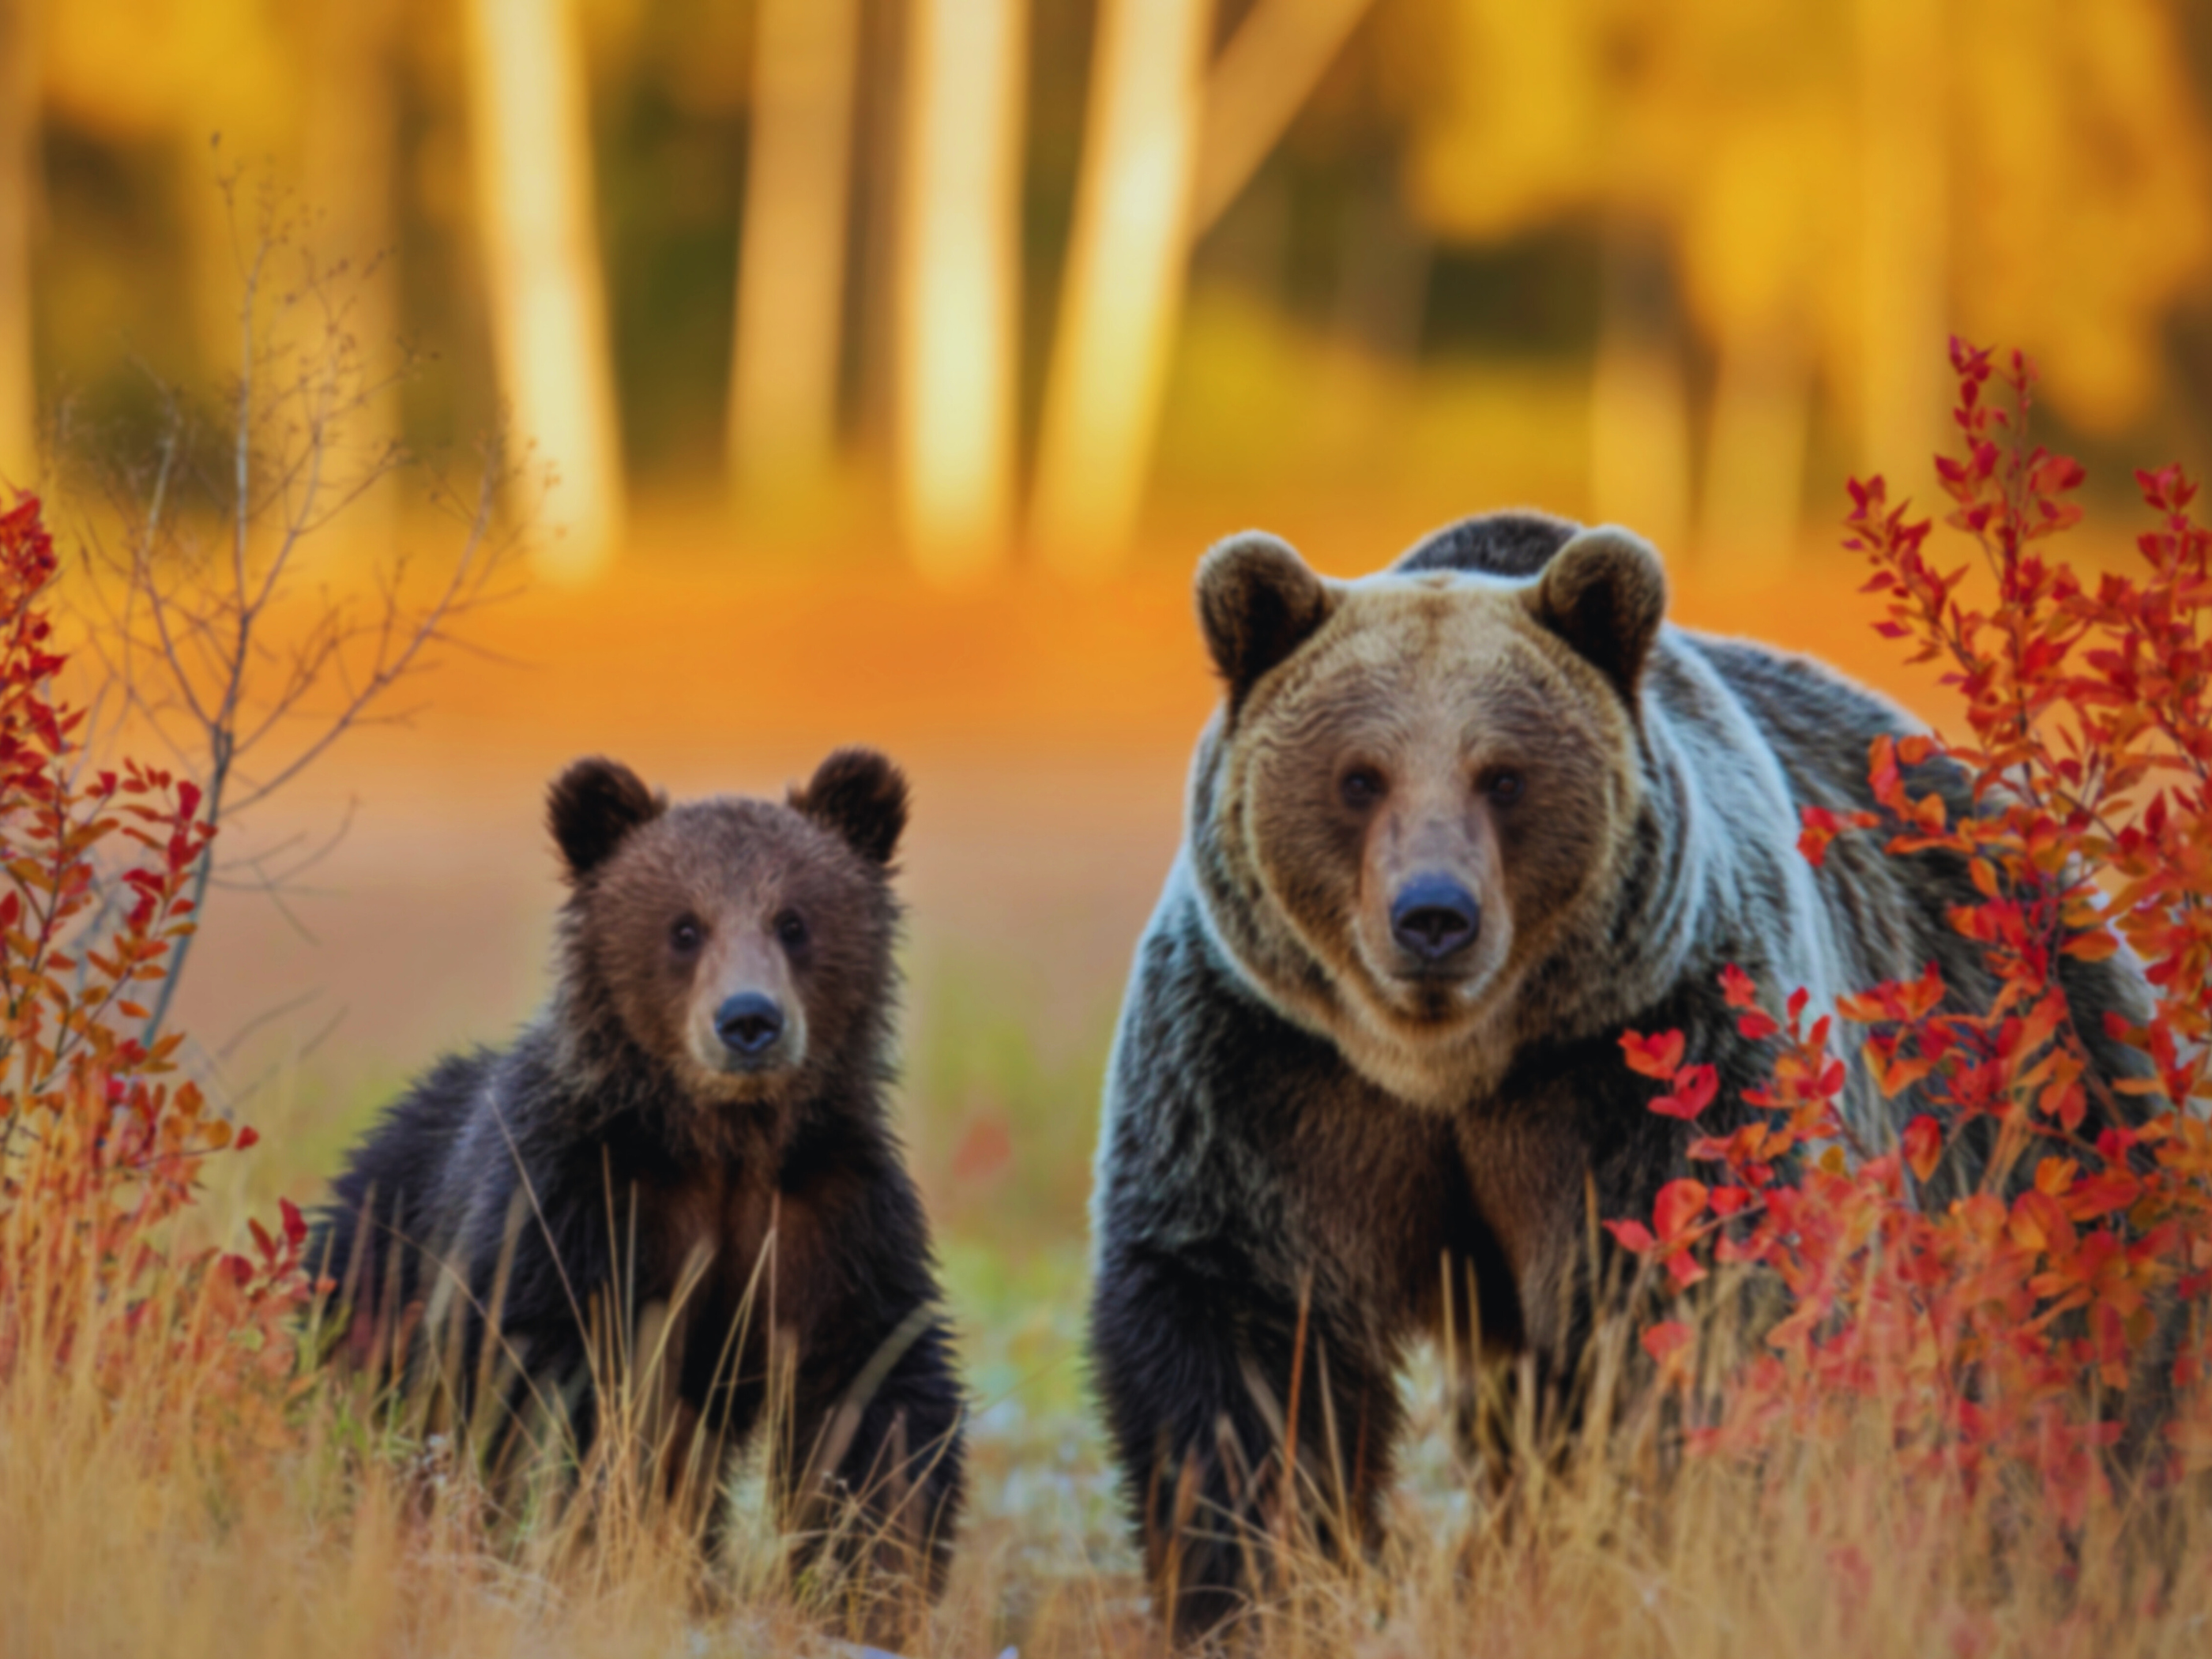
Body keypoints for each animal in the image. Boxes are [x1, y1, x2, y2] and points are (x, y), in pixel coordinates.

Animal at [315, 747, 965, 1614]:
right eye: (684, 927)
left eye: (793, 921)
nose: (749, 1020)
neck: (723, 1143)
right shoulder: (574, 1200)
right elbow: (542, 1384)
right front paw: (596, 1538)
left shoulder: (831, 1214)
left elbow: (873, 1393)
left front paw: (872, 1581)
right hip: (371, 1255)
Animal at [1086, 509, 2152, 1641]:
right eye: (1358, 776)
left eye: (1502, 775)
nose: (1433, 915)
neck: (1448, 1064)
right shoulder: (1272, 1074)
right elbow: (1245, 1337)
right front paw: (1263, 1593)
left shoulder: (1651, 1057)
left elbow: (1706, 1303)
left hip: (2031, 1083)